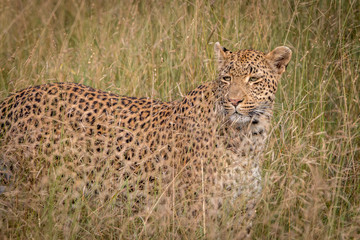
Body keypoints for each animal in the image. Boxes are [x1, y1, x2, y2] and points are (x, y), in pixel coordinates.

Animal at [0, 42, 292, 238]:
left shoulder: (242, 215)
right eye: (226, 78)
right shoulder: (197, 214)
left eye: (253, 79)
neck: (248, 140)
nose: (234, 101)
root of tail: (15, 98)